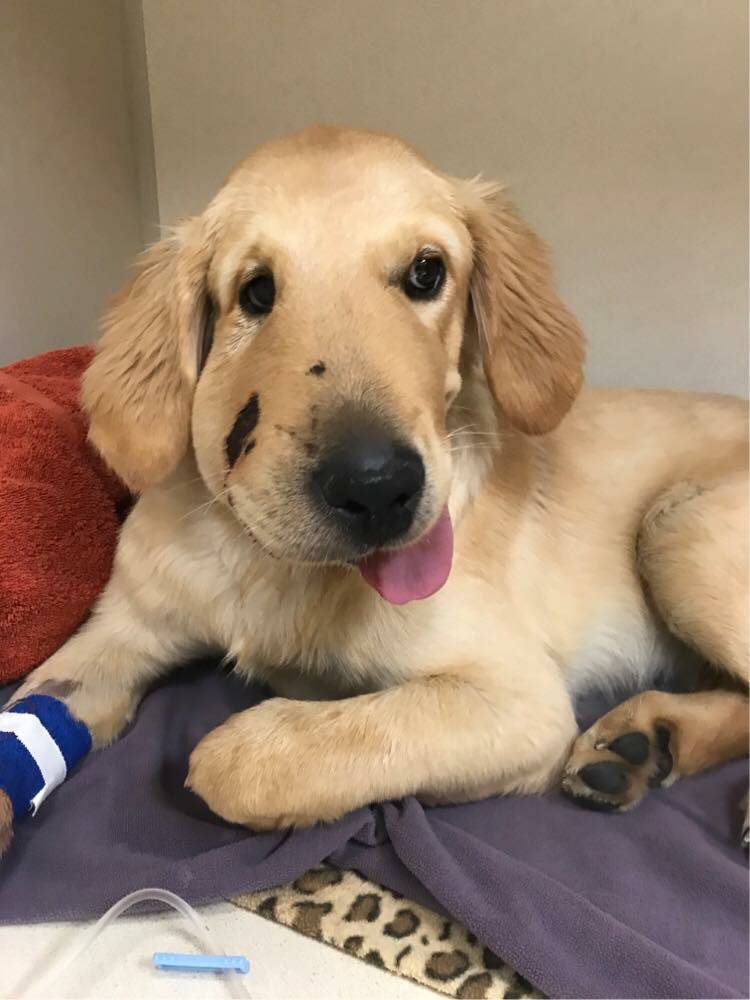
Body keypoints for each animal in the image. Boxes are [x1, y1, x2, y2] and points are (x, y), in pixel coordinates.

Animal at [2, 121, 748, 848]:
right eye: (256, 291)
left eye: (426, 271)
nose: (378, 488)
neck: (265, 558)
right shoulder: (119, 629)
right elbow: (31, 712)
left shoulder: (519, 699)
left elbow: (255, 757)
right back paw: (641, 744)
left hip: (679, 525)